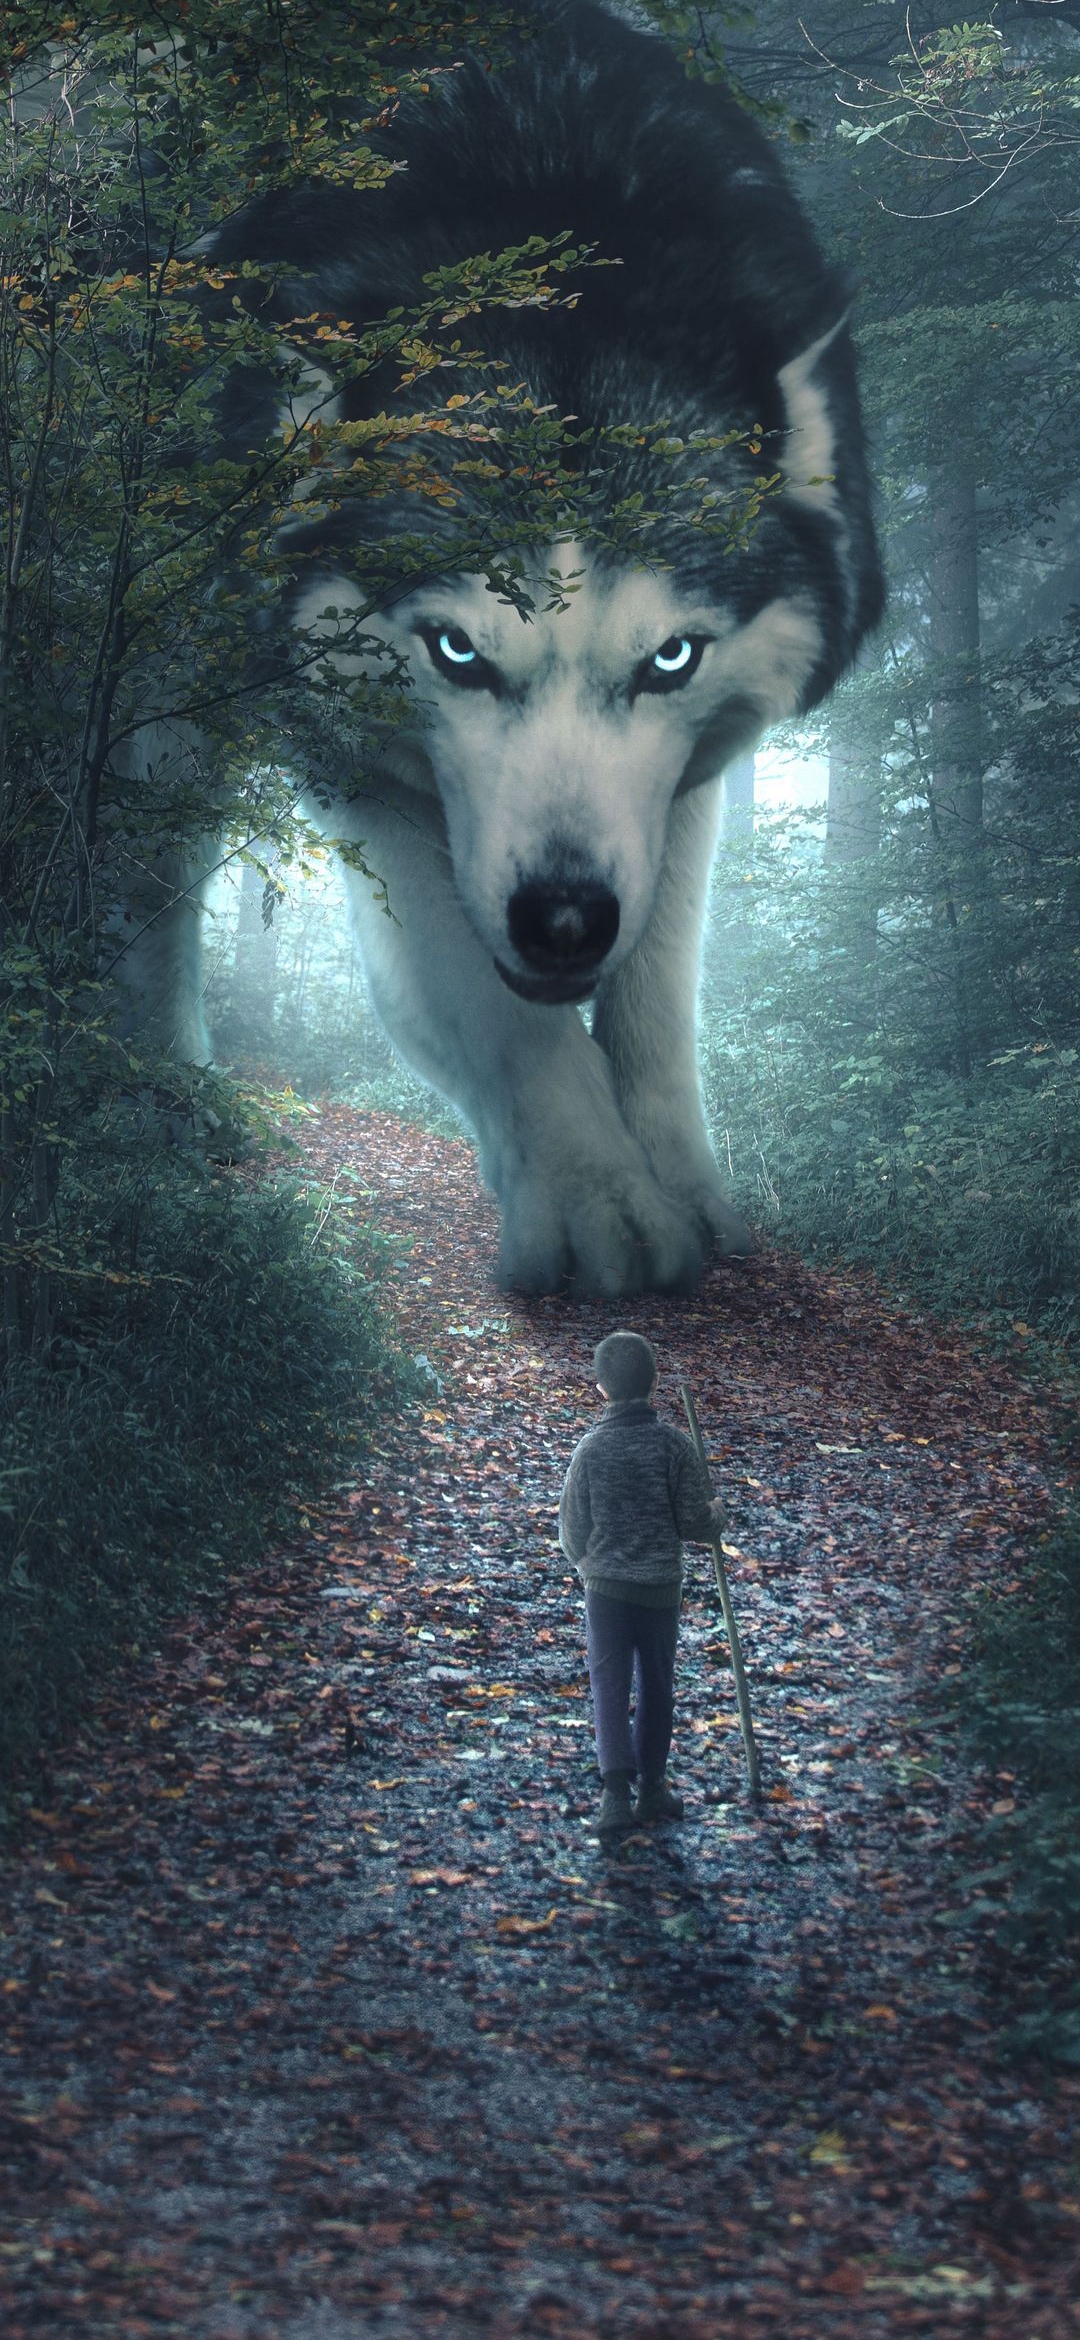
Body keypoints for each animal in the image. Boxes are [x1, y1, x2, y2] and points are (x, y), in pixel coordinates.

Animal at [121, 0, 883, 1296]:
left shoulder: (687, 787)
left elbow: (654, 1002)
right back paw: (172, 1088)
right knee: (160, 874)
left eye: (670, 661)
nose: (564, 920)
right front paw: (595, 1204)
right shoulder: (358, 766)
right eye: (457, 653)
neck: (550, 204)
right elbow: (498, 1014)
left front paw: (686, 1192)